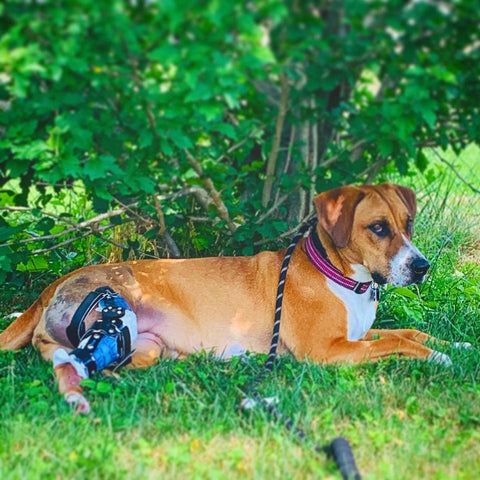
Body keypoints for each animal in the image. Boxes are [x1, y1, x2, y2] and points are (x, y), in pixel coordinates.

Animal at [0, 184, 464, 412]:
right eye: (378, 228)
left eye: (408, 222)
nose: (422, 267)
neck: (342, 277)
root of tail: (54, 285)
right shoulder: (327, 350)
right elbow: (399, 340)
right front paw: (439, 358)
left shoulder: (353, 338)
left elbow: (411, 331)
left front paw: (455, 343)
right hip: (115, 313)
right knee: (67, 363)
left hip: (145, 347)